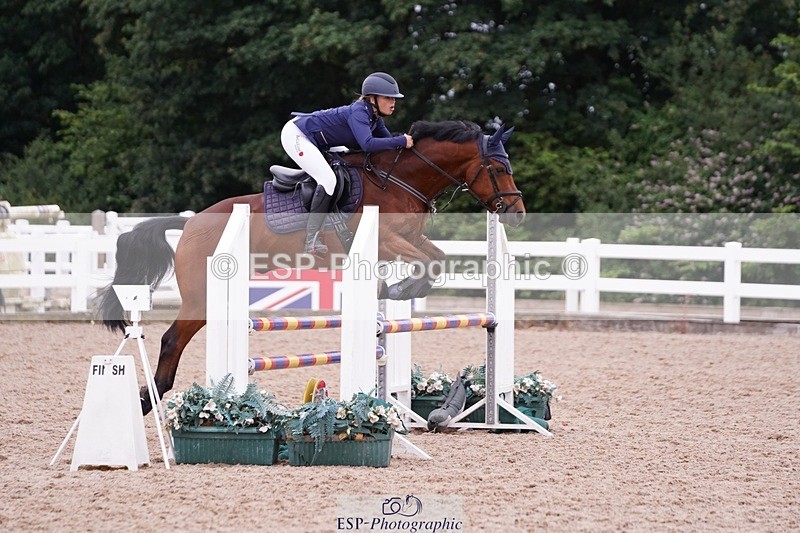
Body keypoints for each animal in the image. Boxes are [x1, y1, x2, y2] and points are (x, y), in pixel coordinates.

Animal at [98, 120, 526, 414]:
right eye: (499, 168)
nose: (518, 213)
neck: (400, 180)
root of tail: (190, 223)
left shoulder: (408, 240)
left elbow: (436, 259)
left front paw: (396, 290)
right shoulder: (385, 240)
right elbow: (426, 263)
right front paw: (399, 289)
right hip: (202, 297)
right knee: (172, 339)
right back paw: (149, 399)